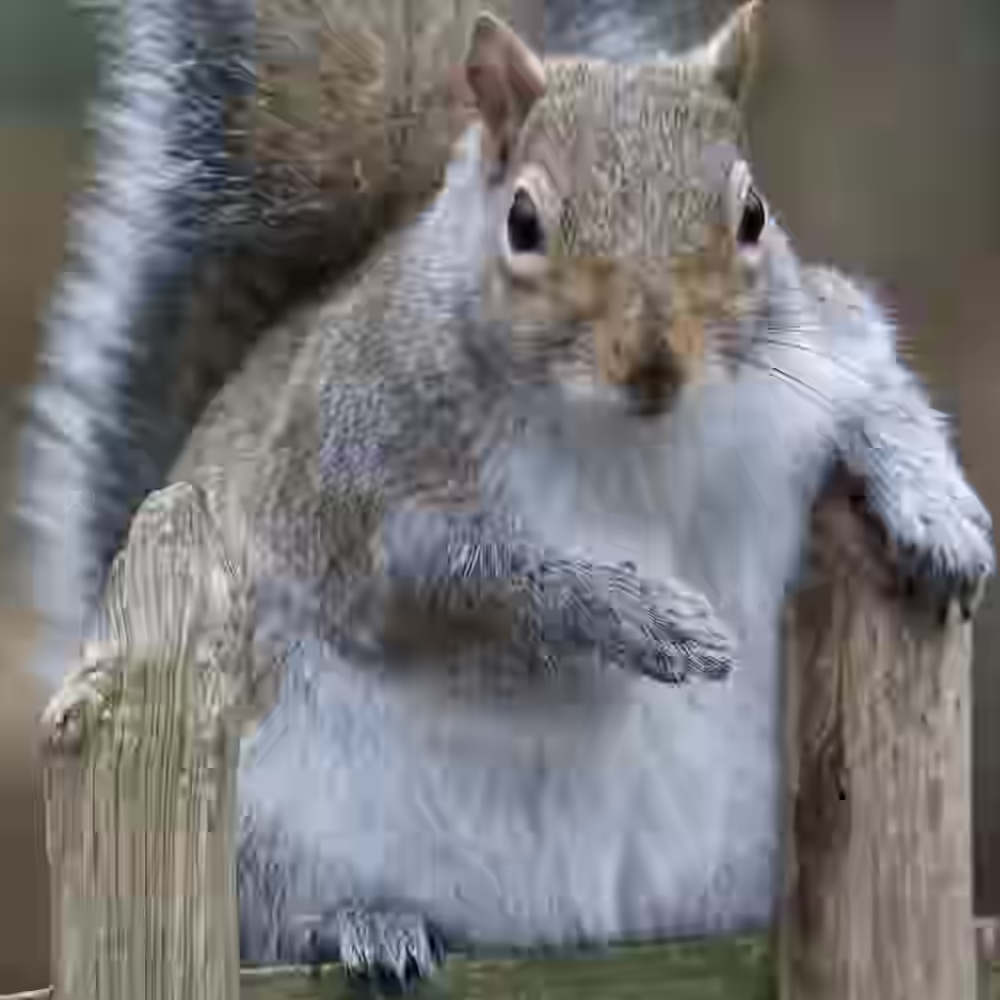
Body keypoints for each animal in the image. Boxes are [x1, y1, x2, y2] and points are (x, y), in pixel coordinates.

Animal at [20, 0, 995, 990]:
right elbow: (474, 576)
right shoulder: (357, 486)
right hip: (267, 833)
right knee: (280, 926)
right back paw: (362, 924)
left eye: (753, 214)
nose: (654, 362)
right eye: (524, 220)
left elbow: (882, 392)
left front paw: (937, 513)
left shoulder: (818, 353)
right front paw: (645, 616)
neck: (634, 435)